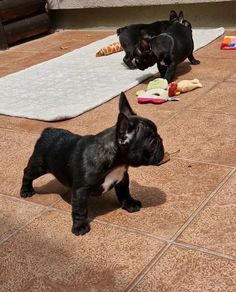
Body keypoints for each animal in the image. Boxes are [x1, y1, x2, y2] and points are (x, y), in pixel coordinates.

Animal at [20, 92, 168, 236]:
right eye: (153, 142)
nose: (161, 140)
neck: (116, 163)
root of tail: (48, 130)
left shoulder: (122, 178)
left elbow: (125, 192)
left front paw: (130, 204)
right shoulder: (80, 190)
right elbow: (80, 210)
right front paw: (80, 226)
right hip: (39, 166)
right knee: (27, 173)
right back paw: (26, 190)